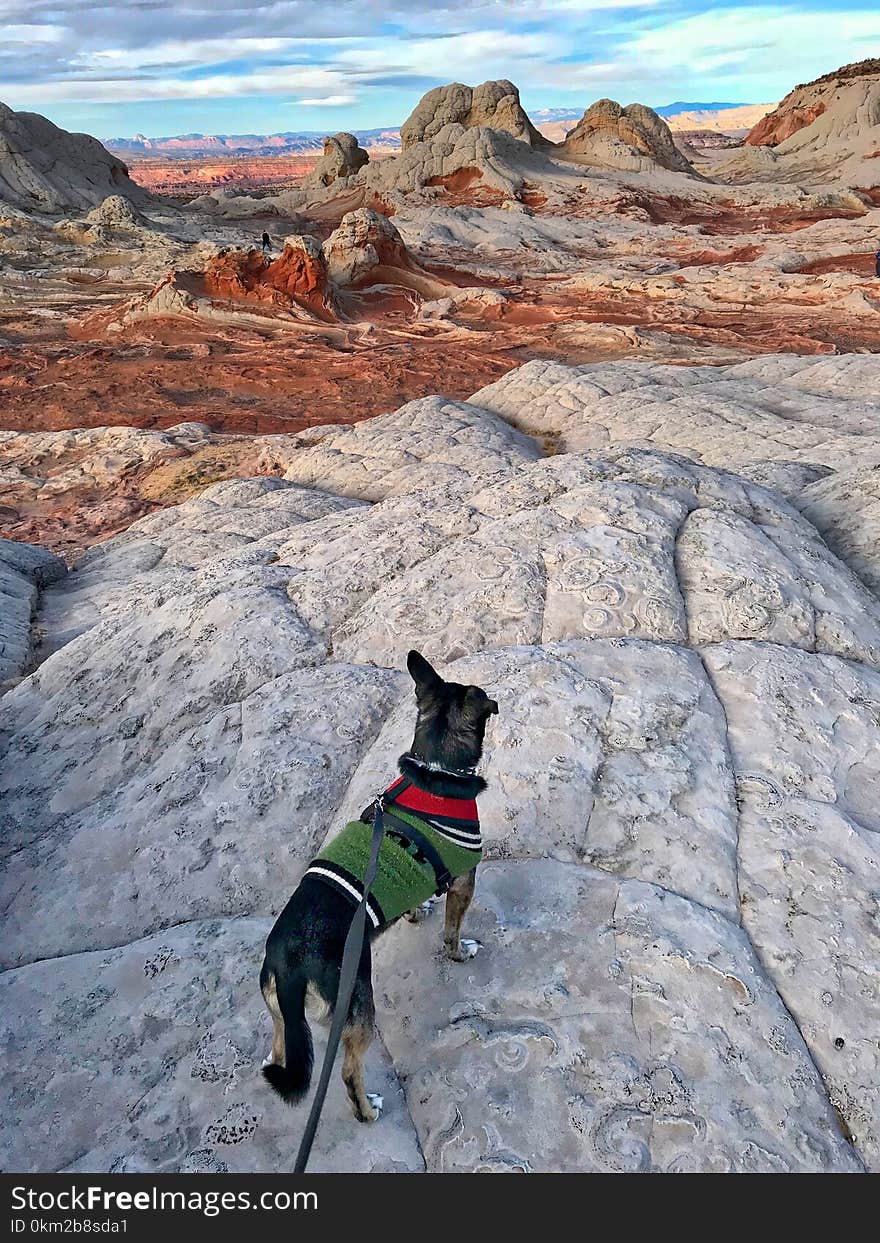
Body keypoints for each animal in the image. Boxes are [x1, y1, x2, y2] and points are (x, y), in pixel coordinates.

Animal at [259, 651, 494, 1128]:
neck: (434, 770)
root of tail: (289, 962)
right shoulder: (464, 882)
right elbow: (452, 933)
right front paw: (460, 952)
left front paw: (416, 912)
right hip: (358, 1006)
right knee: (349, 1072)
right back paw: (367, 1111)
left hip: (281, 1017)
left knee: (279, 1050)